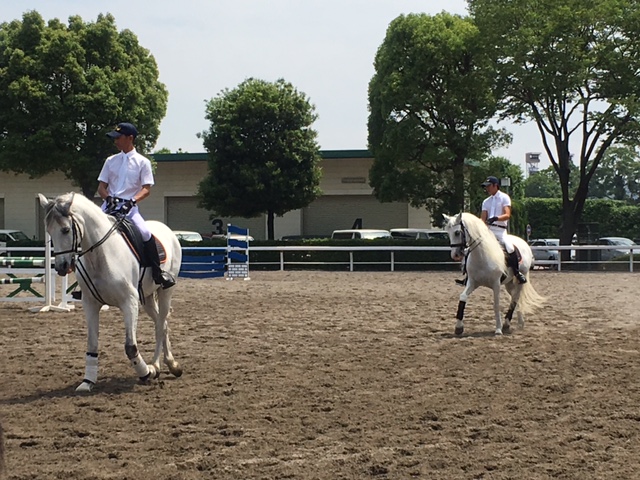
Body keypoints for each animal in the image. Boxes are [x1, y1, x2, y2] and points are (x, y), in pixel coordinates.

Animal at [38, 193, 183, 392]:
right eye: (49, 231)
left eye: (66, 230)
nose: (62, 267)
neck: (100, 255)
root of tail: (167, 230)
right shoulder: (90, 304)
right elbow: (92, 344)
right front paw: (87, 381)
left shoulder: (129, 302)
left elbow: (130, 347)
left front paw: (145, 373)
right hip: (146, 297)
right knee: (162, 324)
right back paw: (166, 365)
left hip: (165, 291)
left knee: (161, 325)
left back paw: (159, 366)